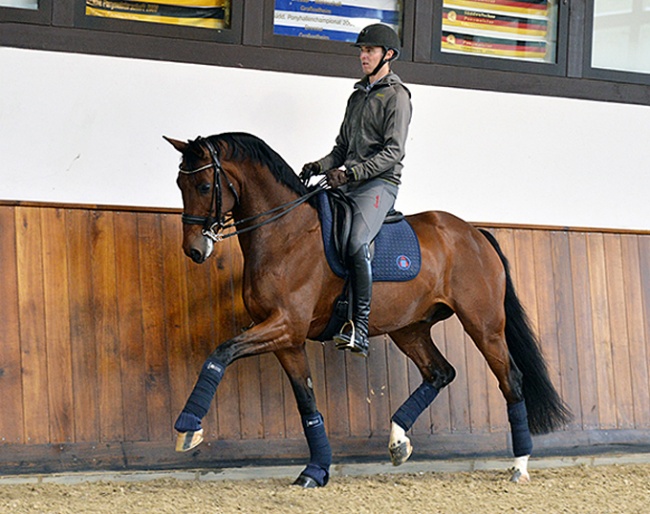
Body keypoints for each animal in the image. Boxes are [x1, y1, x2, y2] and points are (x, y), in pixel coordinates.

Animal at [165, 131, 568, 484]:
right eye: (179, 184)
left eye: (204, 187)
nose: (194, 250)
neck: (286, 233)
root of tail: (475, 233)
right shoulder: (287, 339)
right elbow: (307, 403)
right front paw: (315, 471)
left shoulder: (285, 325)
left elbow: (221, 353)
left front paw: (188, 429)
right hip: (409, 328)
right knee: (439, 373)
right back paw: (398, 442)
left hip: (483, 324)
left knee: (510, 381)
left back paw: (519, 466)